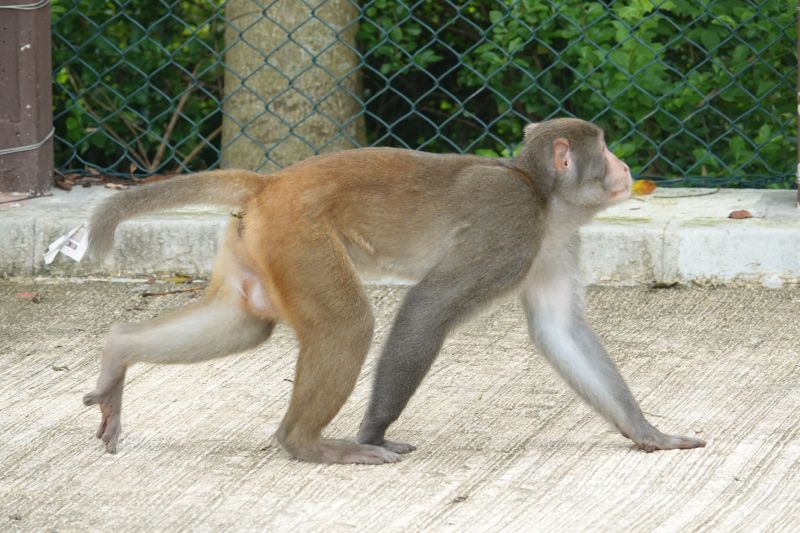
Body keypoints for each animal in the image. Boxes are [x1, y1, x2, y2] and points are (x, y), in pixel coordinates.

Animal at [82, 118, 705, 463]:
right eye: (605, 149)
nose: (625, 165)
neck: (540, 193)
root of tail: (271, 181)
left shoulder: (552, 243)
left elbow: (560, 331)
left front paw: (646, 433)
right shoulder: (512, 229)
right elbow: (428, 307)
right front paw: (375, 431)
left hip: (258, 244)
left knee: (246, 322)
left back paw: (119, 351)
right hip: (299, 235)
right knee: (347, 324)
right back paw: (305, 442)